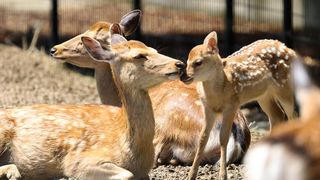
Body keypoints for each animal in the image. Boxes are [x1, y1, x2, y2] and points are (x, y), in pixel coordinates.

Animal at [0, 24, 184, 180]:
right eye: (139, 55)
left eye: (154, 49)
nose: (179, 64)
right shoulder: (79, 159)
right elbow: (127, 174)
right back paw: (13, 172)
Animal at [182, 31, 298, 180]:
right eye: (187, 61)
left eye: (198, 62)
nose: (183, 77)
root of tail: (290, 50)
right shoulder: (208, 108)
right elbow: (202, 139)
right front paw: (191, 175)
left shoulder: (232, 105)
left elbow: (223, 138)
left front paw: (223, 175)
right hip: (264, 95)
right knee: (277, 116)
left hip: (284, 86)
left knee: (293, 115)